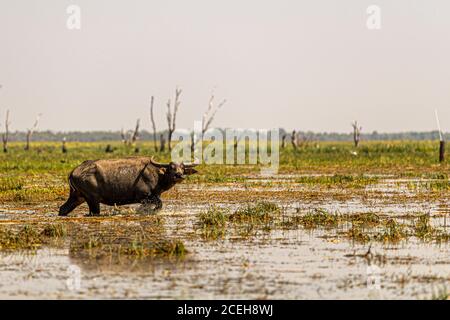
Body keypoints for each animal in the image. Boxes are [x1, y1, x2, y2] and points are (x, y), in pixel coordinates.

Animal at [57, 157, 197, 216]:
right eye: (171, 167)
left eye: (182, 168)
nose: (179, 175)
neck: (157, 174)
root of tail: (74, 171)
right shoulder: (144, 196)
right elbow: (159, 204)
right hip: (92, 200)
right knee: (94, 213)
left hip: (77, 197)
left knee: (63, 209)